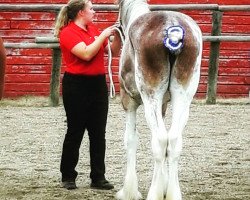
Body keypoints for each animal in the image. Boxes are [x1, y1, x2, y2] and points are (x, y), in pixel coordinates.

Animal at [115, 0, 203, 200]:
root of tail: (172, 27)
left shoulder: (129, 101)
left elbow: (130, 139)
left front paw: (129, 191)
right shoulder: (163, 105)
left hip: (151, 96)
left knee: (161, 139)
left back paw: (154, 193)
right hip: (182, 97)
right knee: (174, 140)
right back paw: (172, 193)